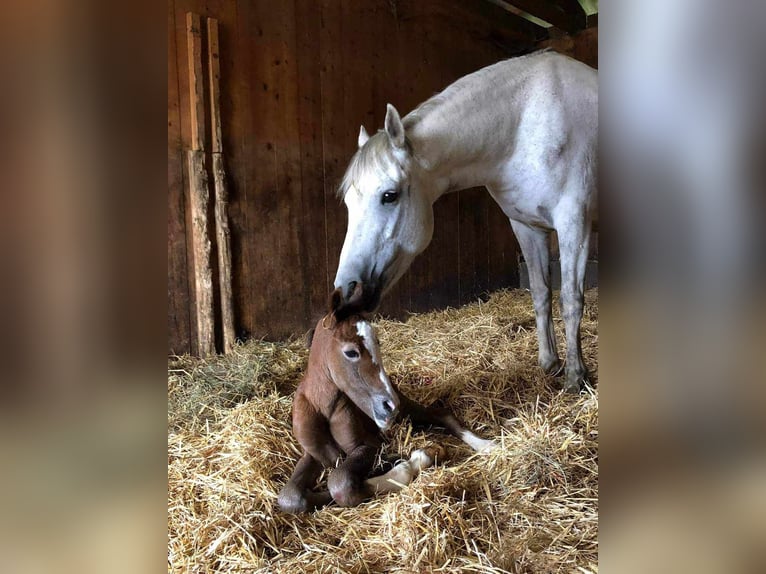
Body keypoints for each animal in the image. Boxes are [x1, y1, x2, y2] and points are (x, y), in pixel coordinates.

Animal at [280, 286, 496, 516]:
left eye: (378, 344)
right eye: (351, 352)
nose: (390, 405)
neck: (323, 407)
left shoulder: (366, 445)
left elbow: (341, 484)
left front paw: (415, 460)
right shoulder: (314, 455)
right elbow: (291, 498)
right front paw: (400, 460)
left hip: (405, 410)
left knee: (441, 414)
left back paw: (485, 445)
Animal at [338, 50, 600, 396]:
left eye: (389, 195)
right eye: (347, 203)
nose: (347, 290)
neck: (527, 120)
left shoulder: (575, 223)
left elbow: (571, 298)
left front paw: (575, 376)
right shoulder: (527, 226)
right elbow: (541, 293)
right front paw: (549, 363)